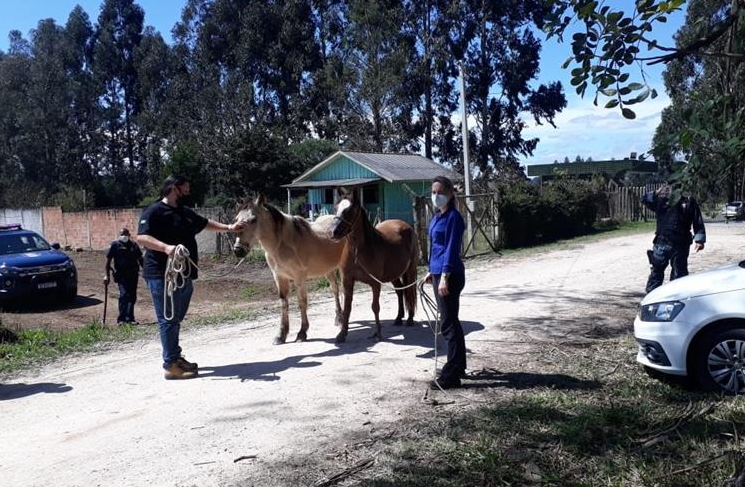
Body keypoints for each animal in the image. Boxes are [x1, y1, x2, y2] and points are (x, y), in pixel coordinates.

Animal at [232, 196, 346, 346]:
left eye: (253, 219)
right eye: (236, 219)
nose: (238, 250)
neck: (282, 244)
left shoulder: (299, 278)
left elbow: (301, 302)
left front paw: (302, 333)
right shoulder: (279, 277)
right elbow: (284, 303)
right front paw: (281, 335)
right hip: (328, 270)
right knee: (335, 289)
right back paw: (338, 318)